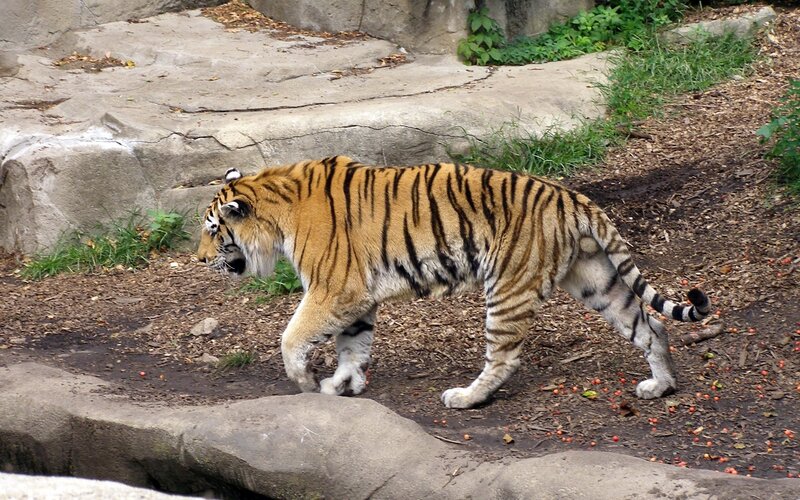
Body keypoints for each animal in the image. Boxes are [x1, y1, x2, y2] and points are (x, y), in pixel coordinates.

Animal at [197, 155, 710, 409]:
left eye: (213, 231)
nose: (199, 259)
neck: (276, 211)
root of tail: (570, 196)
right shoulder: (357, 296)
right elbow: (353, 344)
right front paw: (342, 384)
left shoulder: (334, 288)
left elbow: (291, 336)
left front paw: (304, 381)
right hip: (595, 279)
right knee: (651, 326)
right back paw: (660, 386)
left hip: (507, 286)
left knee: (504, 357)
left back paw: (466, 398)